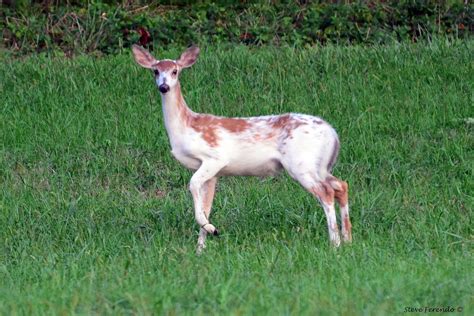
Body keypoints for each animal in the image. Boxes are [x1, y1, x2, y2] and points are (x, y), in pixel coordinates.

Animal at [131, 44, 350, 253]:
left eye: (175, 71)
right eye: (155, 71)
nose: (164, 87)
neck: (186, 126)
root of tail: (333, 134)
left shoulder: (214, 157)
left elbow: (192, 185)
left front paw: (211, 229)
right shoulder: (213, 173)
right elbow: (207, 206)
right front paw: (201, 248)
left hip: (300, 163)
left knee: (326, 192)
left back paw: (335, 243)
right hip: (319, 165)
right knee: (340, 185)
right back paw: (348, 239)